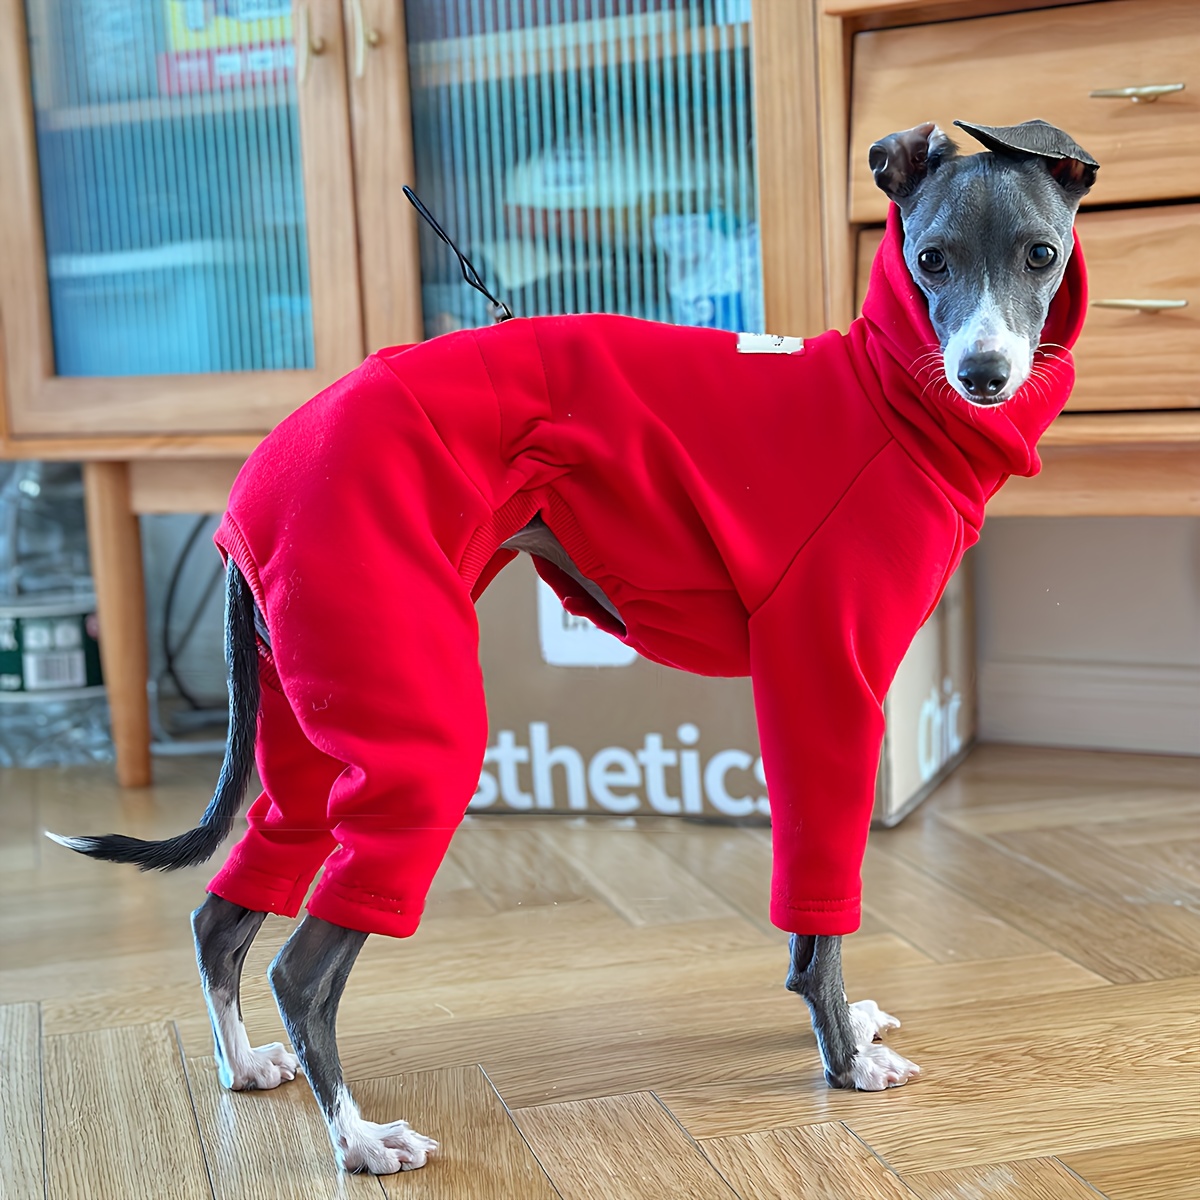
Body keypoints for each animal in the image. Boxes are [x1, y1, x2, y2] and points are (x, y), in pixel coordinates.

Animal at [49, 119, 1099, 1171]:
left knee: (223, 912)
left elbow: (809, 924)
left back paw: (244, 1067)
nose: (984, 376)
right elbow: (820, 913)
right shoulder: (826, 687)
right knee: (302, 968)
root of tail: (243, 494)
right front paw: (843, 1061)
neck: (887, 394)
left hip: (317, 718)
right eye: (930, 260)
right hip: (414, 723)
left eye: (1041, 256)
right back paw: (359, 1138)